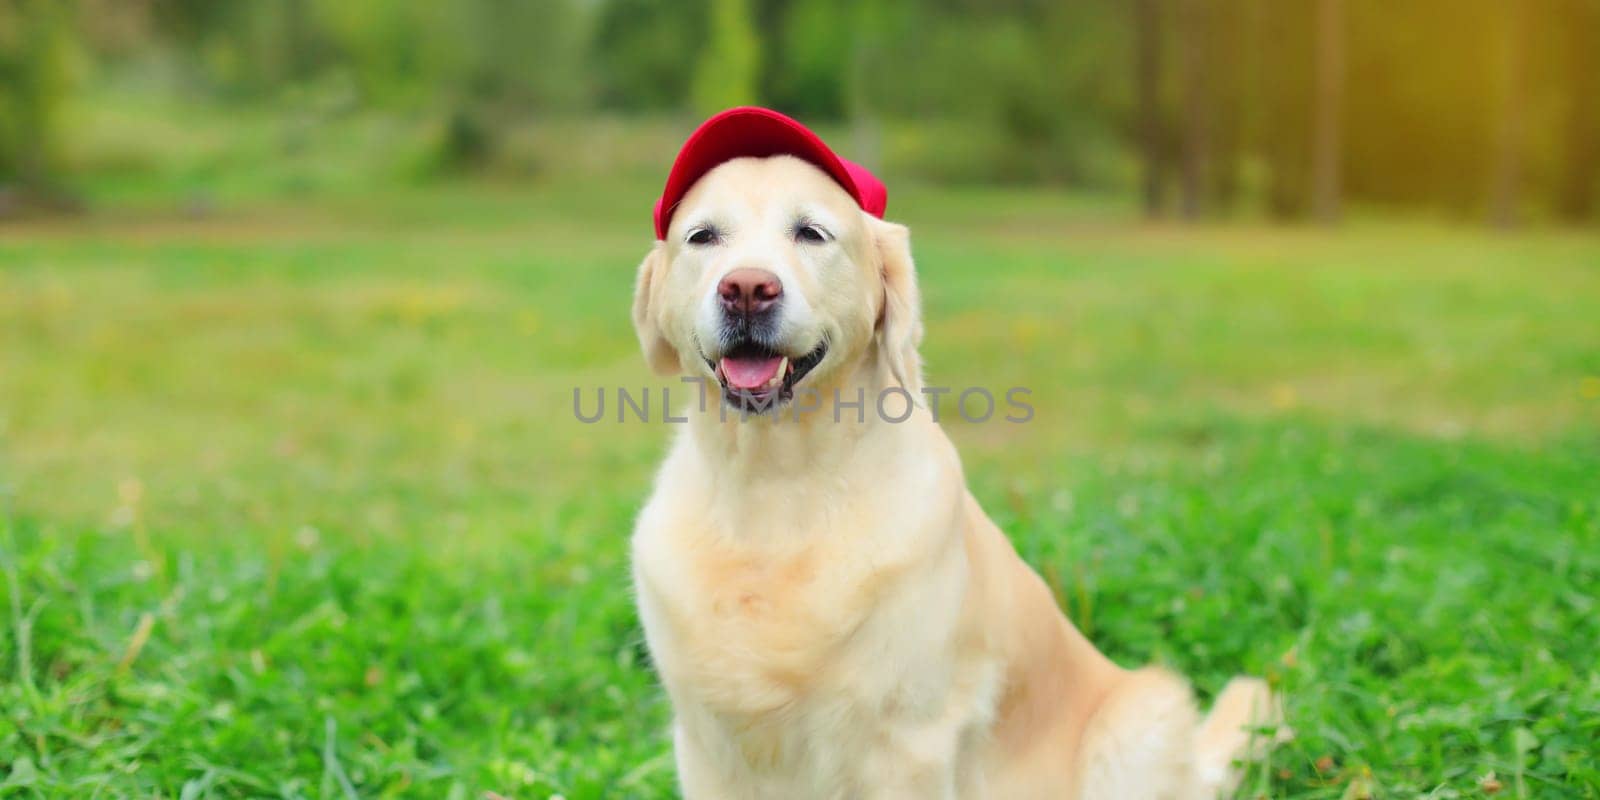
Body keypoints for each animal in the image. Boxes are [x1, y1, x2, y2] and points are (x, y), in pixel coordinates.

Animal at [630, 109, 1280, 796]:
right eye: (703, 237)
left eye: (811, 232)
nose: (748, 288)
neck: (775, 488)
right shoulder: (705, 743)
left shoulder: (908, 743)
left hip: (1139, 722)